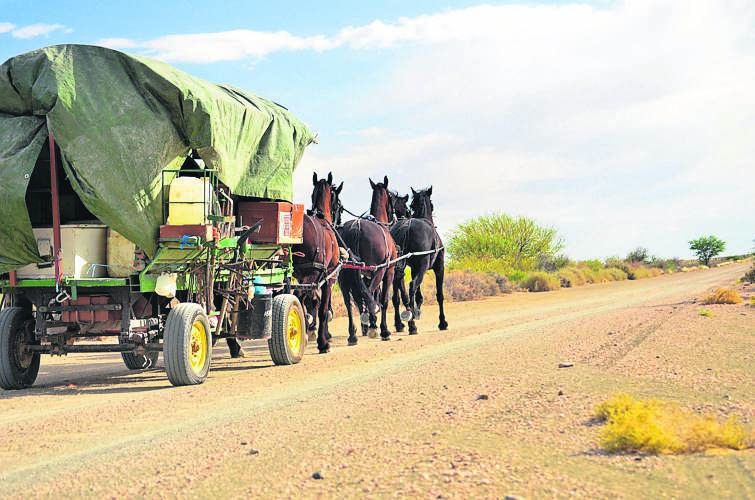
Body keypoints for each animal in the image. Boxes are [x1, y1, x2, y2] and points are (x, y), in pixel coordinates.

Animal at [292, 174, 342, 354]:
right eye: (338, 203)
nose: (338, 222)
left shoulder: (305, 277)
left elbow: (313, 301)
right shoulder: (328, 277)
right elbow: (323, 309)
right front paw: (323, 342)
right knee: (298, 295)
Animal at [338, 176, 398, 344]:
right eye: (392, 196)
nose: (395, 216)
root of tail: (356, 227)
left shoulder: (367, 275)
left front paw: (373, 324)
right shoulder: (387, 272)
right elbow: (383, 299)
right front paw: (382, 329)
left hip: (344, 275)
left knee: (349, 301)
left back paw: (353, 334)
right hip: (379, 272)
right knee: (369, 295)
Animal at [390, 186, 448, 334]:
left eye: (410, 205)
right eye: (432, 204)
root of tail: (406, 225)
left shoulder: (414, 269)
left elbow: (418, 296)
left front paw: (416, 312)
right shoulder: (439, 268)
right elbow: (439, 295)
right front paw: (442, 322)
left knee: (396, 294)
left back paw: (400, 323)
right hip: (423, 266)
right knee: (412, 286)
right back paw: (412, 325)